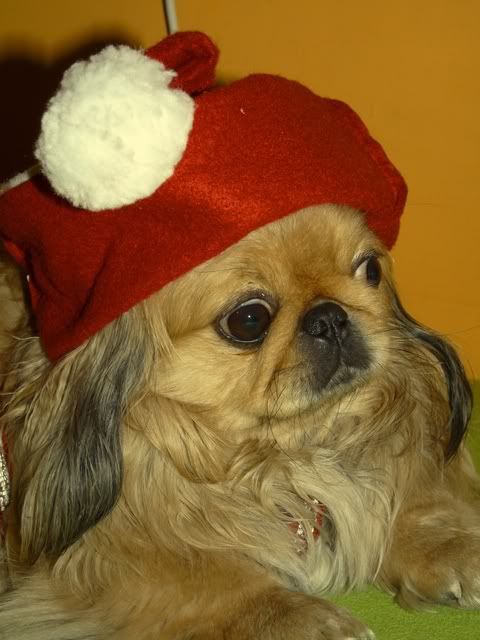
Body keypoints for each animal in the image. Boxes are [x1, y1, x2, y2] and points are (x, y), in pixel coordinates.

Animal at [0, 203, 478, 639]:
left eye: (371, 270)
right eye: (249, 319)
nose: (330, 317)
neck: (282, 454)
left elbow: (408, 504)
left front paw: (445, 546)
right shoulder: (93, 561)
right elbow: (202, 575)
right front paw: (295, 618)